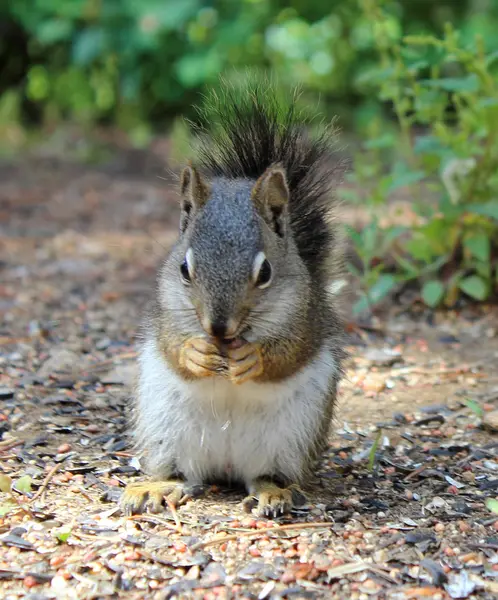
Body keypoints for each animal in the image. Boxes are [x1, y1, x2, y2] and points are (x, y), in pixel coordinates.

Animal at [120, 81, 346, 520]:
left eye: (266, 272)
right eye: (184, 268)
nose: (218, 328)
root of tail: (226, 468)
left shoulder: (307, 316)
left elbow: (291, 352)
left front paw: (252, 358)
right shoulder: (164, 310)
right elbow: (172, 344)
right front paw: (195, 352)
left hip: (293, 437)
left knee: (268, 475)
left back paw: (273, 493)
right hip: (164, 427)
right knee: (180, 472)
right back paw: (157, 485)